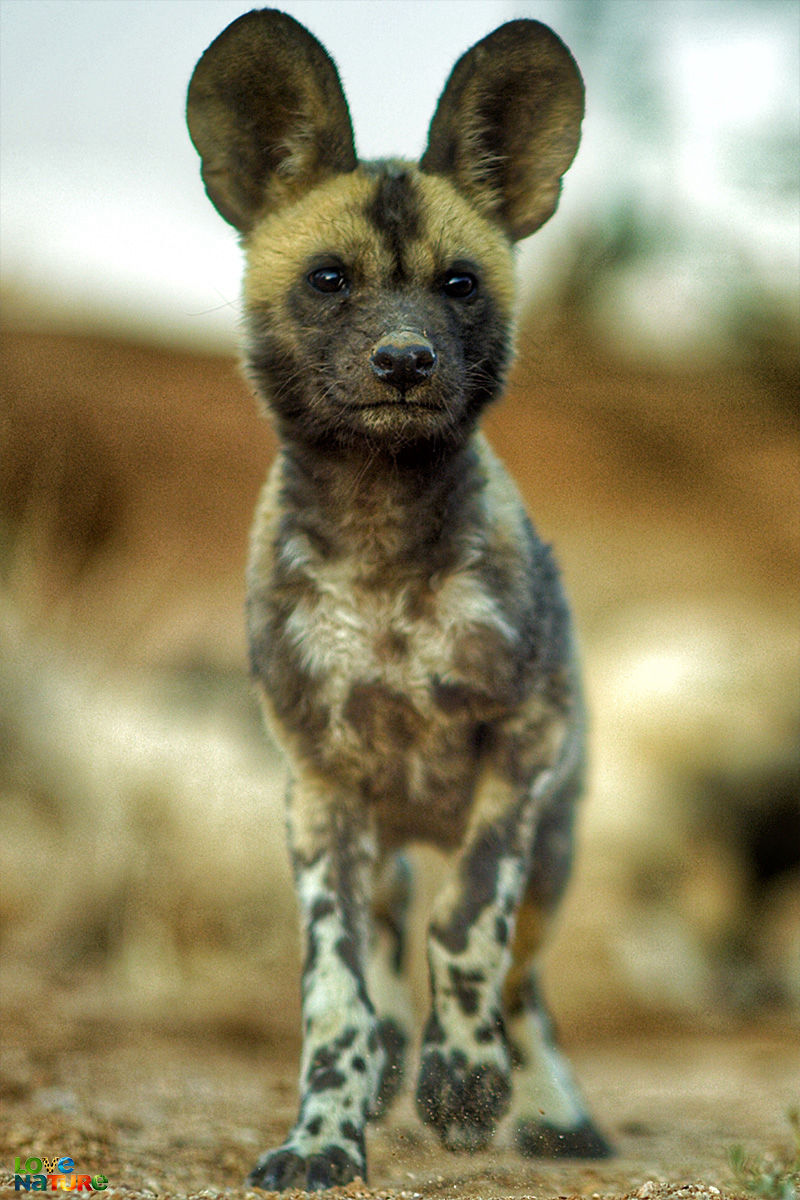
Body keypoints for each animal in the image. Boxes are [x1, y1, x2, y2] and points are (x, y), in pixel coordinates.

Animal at [188, 9, 609, 1190]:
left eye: (458, 285)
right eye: (331, 280)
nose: (405, 360)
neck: (379, 550)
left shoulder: (520, 747)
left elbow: (468, 930)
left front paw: (463, 1083)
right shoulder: (320, 792)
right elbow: (333, 989)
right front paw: (325, 1132)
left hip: (554, 850)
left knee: (525, 980)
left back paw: (549, 1110)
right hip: (366, 835)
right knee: (381, 944)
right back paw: (384, 1069)